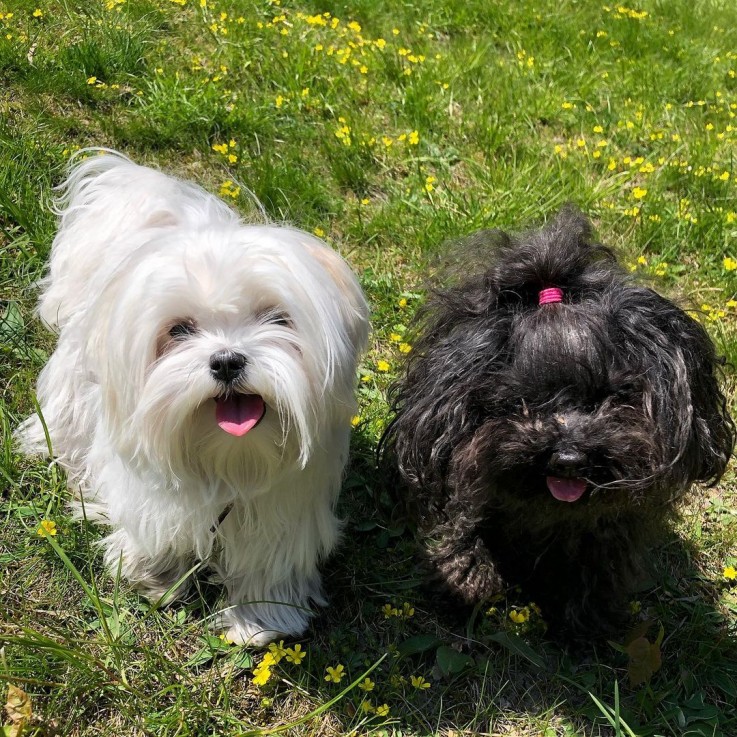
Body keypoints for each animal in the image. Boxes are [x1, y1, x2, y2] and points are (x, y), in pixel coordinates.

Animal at [18, 151, 368, 644]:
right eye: (179, 330)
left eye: (277, 318)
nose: (226, 361)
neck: (231, 457)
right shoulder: (151, 488)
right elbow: (153, 525)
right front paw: (153, 574)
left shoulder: (284, 504)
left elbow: (268, 556)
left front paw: (264, 616)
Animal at [382, 207, 732, 640]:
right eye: (521, 403)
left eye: (610, 398)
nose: (568, 460)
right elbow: (466, 522)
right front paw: (468, 580)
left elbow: (595, 566)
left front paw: (585, 619)